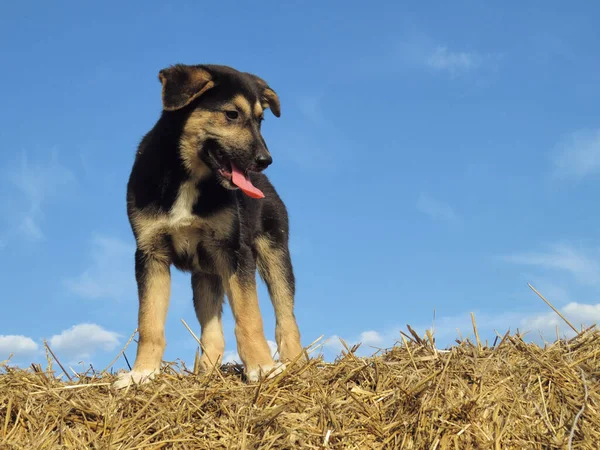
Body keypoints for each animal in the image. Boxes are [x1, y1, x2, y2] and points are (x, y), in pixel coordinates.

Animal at [115, 64, 304, 390]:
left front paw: (262, 367)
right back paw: (207, 371)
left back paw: (294, 364)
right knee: (212, 330)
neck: (187, 176)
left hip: (274, 253)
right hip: (205, 274)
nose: (265, 160)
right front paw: (142, 373)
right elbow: (149, 323)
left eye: (261, 119)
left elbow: (250, 317)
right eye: (231, 114)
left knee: (286, 316)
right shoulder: (150, 253)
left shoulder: (235, 251)